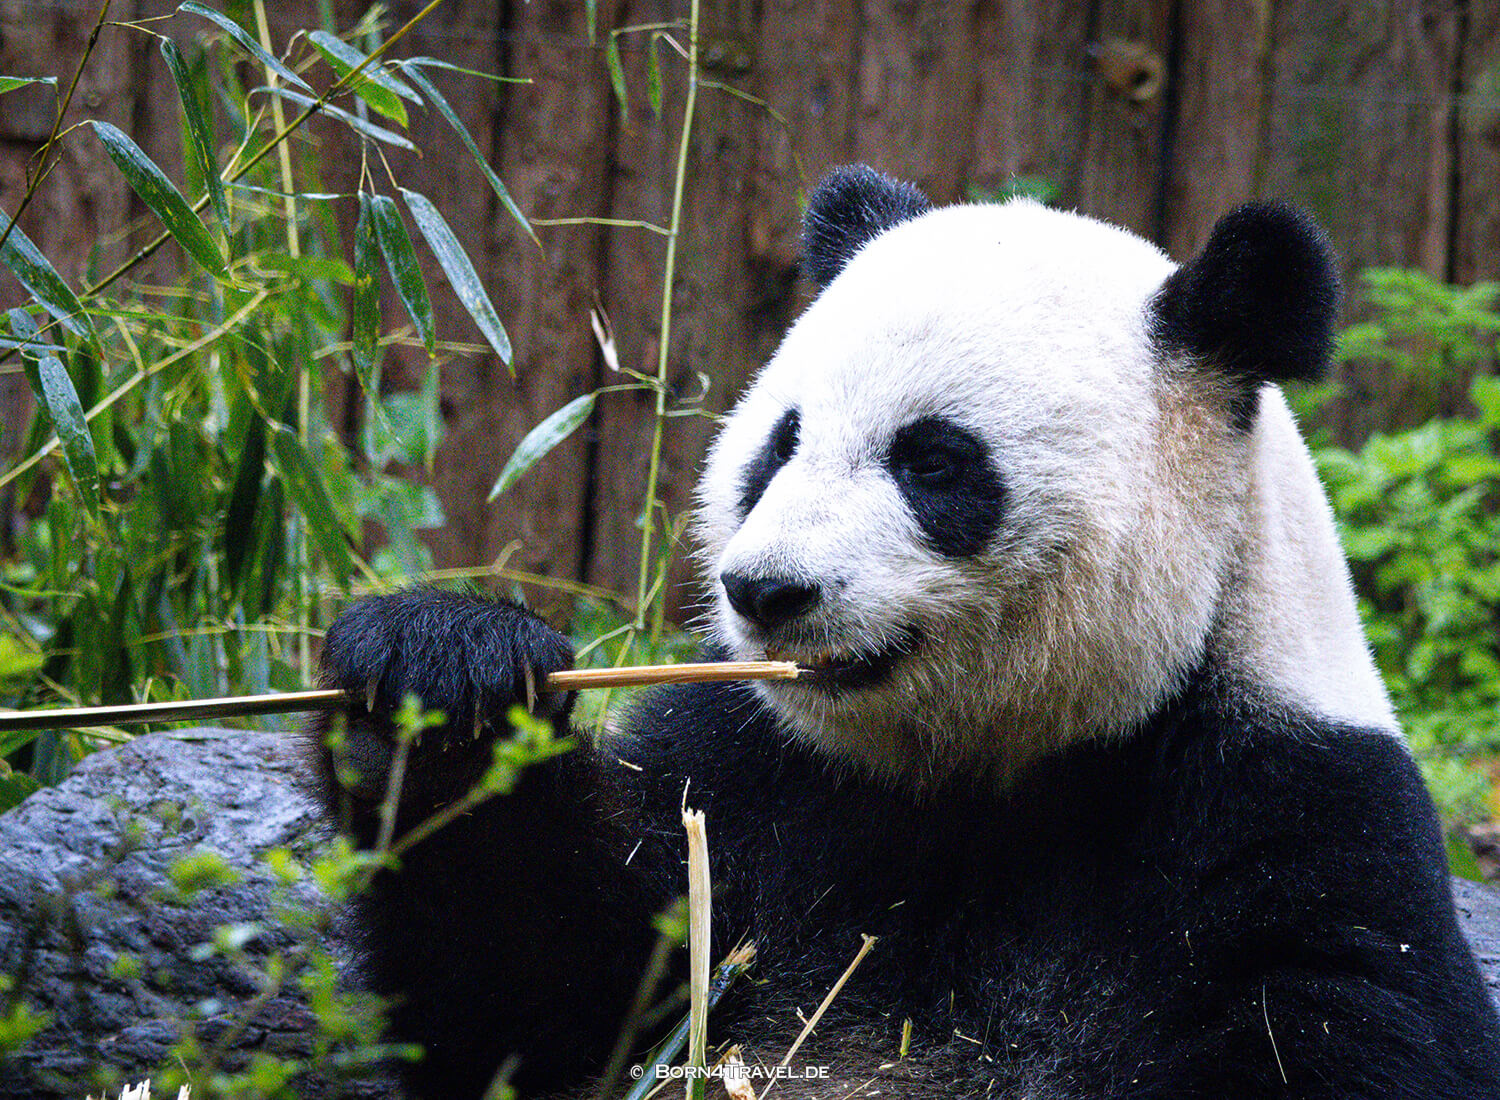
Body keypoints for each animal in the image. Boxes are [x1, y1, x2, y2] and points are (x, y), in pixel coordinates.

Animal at [308, 166, 1500, 1099]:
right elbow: (552, 998)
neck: (987, 769)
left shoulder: (1292, 818)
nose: (766, 592)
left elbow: (1342, 1032)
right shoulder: (751, 773)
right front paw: (433, 685)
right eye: (780, 444)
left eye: (933, 460)